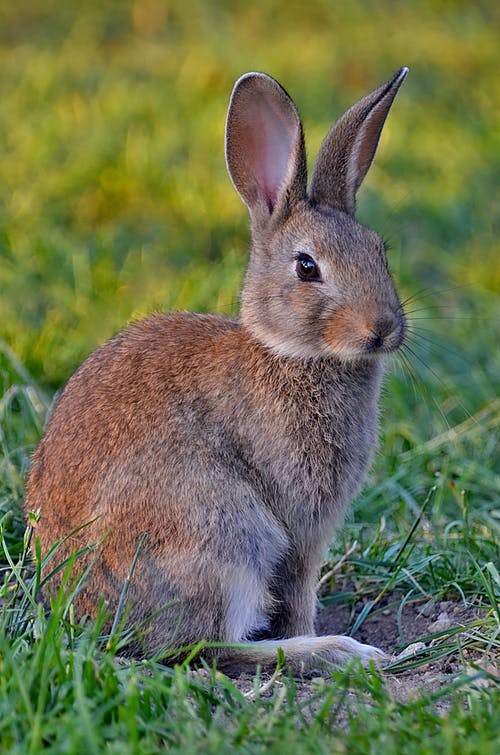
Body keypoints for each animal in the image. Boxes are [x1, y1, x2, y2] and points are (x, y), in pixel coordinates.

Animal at [24, 68, 410, 676]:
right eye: (307, 267)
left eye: (380, 251)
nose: (385, 329)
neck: (289, 354)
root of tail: (94, 613)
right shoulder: (298, 528)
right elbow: (298, 594)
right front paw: (320, 637)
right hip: (224, 536)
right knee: (201, 646)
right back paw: (338, 651)